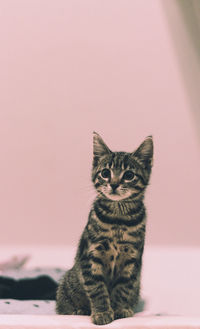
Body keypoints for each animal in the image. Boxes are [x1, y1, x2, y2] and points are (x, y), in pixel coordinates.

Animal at [56, 132, 153, 324]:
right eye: (105, 173)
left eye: (129, 175)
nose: (114, 184)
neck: (118, 219)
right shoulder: (91, 256)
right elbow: (97, 288)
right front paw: (102, 312)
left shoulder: (132, 259)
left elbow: (123, 288)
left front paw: (120, 309)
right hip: (66, 287)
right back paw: (79, 310)